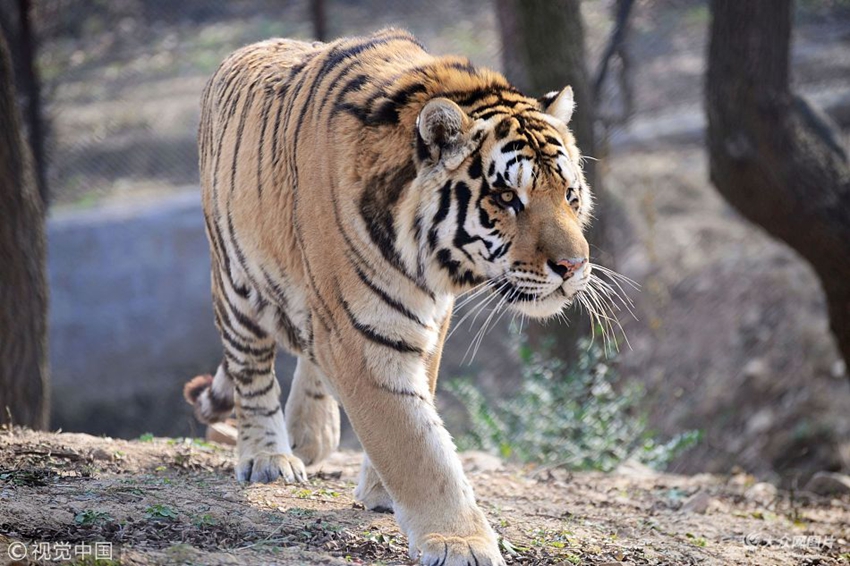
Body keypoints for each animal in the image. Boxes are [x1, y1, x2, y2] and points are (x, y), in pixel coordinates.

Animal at [186, 28, 592, 564]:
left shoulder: (425, 322)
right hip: (236, 284)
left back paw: (309, 436)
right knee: (251, 372)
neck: (429, 264)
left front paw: (382, 492)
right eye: (507, 198)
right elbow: (416, 444)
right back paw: (270, 456)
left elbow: (412, 414)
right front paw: (460, 542)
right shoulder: (363, 336)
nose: (573, 266)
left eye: (569, 194)